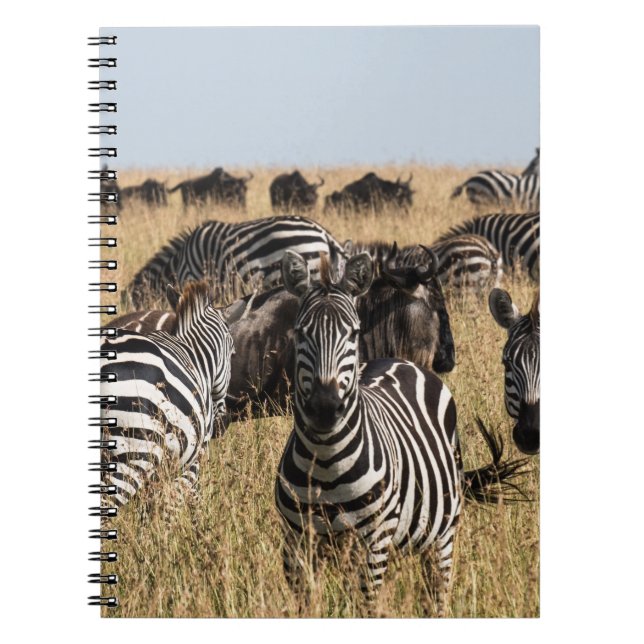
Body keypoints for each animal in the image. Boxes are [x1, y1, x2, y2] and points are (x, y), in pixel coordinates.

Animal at [100, 281, 235, 507]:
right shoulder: (192, 459)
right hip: (134, 451)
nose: (222, 423)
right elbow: (178, 502)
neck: (194, 354)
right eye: (232, 353)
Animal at [275, 251, 527, 615]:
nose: (324, 408)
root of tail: (399, 361)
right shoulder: (296, 548)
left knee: (436, 599)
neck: (323, 463)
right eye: (299, 332)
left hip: (441, 538)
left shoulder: (372, 545)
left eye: (353, 333)